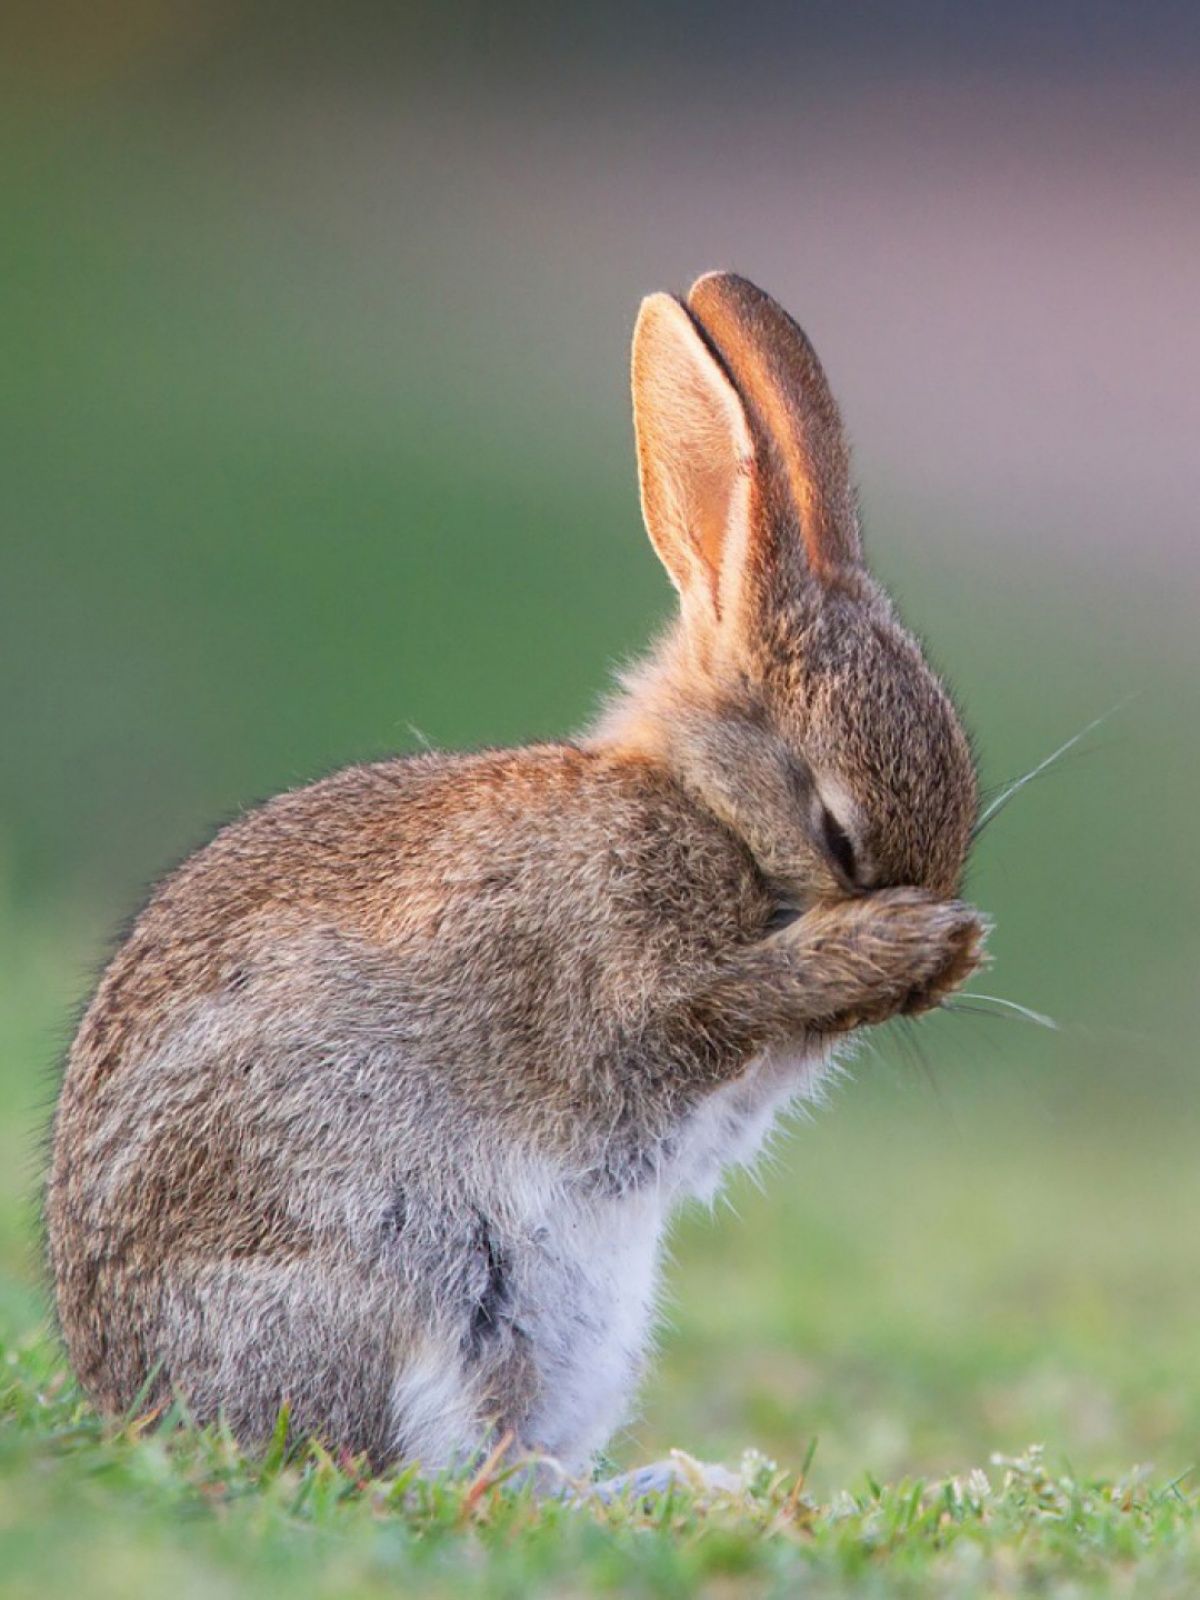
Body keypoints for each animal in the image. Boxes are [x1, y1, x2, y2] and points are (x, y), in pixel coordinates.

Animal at [46, 272, 985, 1480]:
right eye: (836, 832)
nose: (935, 969)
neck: (706, 807)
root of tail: (138, 1403)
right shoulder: (624, 982)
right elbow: (700, 1016)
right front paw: (899, 945)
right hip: (401, 1276)